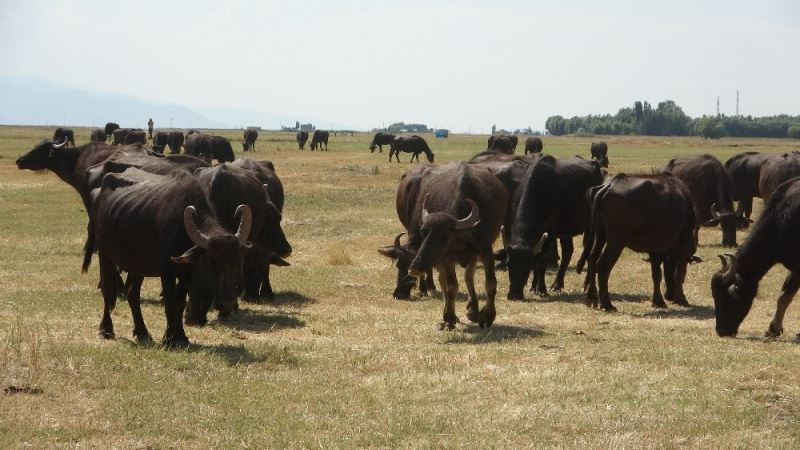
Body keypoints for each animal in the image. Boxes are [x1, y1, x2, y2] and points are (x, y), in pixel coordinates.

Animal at [91, 167, 253, 346]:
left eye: (237, 262)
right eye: (211, 261)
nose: (228, 303)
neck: (181, 230)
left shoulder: (187, 276)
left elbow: (179, 304)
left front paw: (180, 336)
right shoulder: (166, 271)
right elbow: (169, 302)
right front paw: (168, 338)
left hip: (137, 265)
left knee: (132, 293)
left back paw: (142, 332)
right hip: (104, 253)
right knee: (107, 289)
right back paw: (106, 330)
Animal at [506, 155, 608, 298]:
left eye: (527, 265)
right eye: (508, 263)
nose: (514, 294)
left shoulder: (550, 232)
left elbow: (541, 261)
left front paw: (541, 289)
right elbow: (538, 258)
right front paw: (533, 287)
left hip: (591, 229)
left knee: (590, 254)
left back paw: (587, 285)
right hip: (567, 231)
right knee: (567, 253)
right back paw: (557, 284)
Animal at [580, 174, 696, 312]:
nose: (669, 295)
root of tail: (609, 185)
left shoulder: (655, 247)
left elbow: (656, 273)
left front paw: (658, 301)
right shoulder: (684, 240)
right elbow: (680, 272)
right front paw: (681, 299)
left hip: (600, 235)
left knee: (592, 258)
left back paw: (591, 297)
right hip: (616, 242)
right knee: (603, 265)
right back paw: (607, 304)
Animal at [708, 176, 800, 338]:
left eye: (725, 298)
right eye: (714, 295)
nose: (721, 331)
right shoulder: (794, 268)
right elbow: (784, 296)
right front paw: (773, 329)